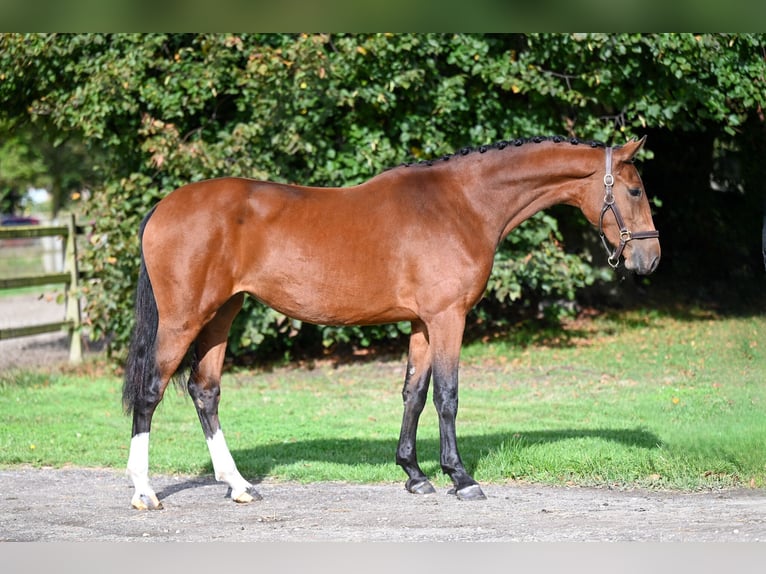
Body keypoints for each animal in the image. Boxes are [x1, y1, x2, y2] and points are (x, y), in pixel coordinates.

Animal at [121, 136, 660, 512]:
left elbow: (414, 395)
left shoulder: (422, 323)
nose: (649, 259)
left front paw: (415, 474)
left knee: (205, 391)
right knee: (150, 392)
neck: (462, 203)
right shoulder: (448, 318)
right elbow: (447, 396)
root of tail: (164, 207)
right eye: (634, 190)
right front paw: (460, 478)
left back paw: (238, 486)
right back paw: (145, 492)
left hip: (222, 315)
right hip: (184, 320)